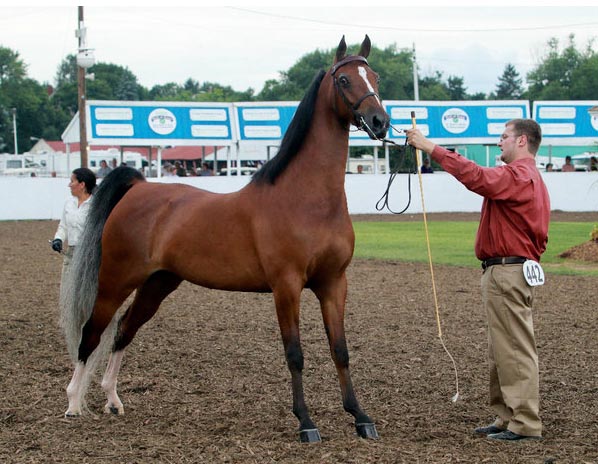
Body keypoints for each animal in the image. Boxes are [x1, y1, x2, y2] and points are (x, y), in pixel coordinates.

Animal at [61, 35, 390, 442]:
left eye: (375, 77)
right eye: (344, 80)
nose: (380, 121)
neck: (307, 199)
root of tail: (139, 188)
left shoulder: (333, 283)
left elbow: (340, 350)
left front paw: (360, 417)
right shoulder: (286, 286)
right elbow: (294, 353)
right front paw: (306, 423)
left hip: (157, 284)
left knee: (123, 330)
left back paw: (112, 400)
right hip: (114, 281)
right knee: (92, 332)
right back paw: (74, 403)